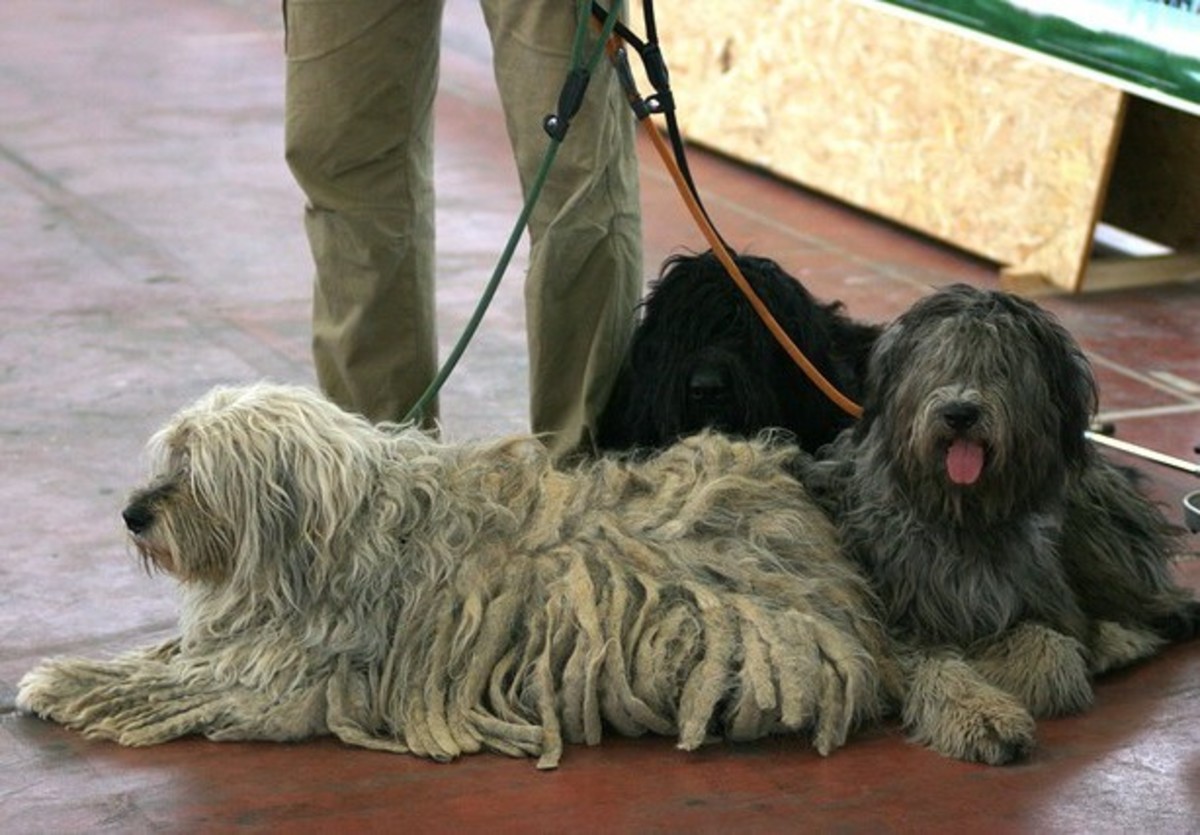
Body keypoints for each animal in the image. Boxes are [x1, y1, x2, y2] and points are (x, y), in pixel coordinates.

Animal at [14, 381, 892, 767]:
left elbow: (166, 683)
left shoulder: (279, 675)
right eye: (171, 458)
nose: (134, 513)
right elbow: (160, 660)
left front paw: (58, 681)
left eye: (201, 473)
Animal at [796, 285, 1200, 763]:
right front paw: (983, 717)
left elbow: (1052, 653)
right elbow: (934, 663)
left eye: (1002, 366)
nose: (960, 413)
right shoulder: (894, 624)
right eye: (939, 360)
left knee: (1161, 604)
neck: (962, 517)